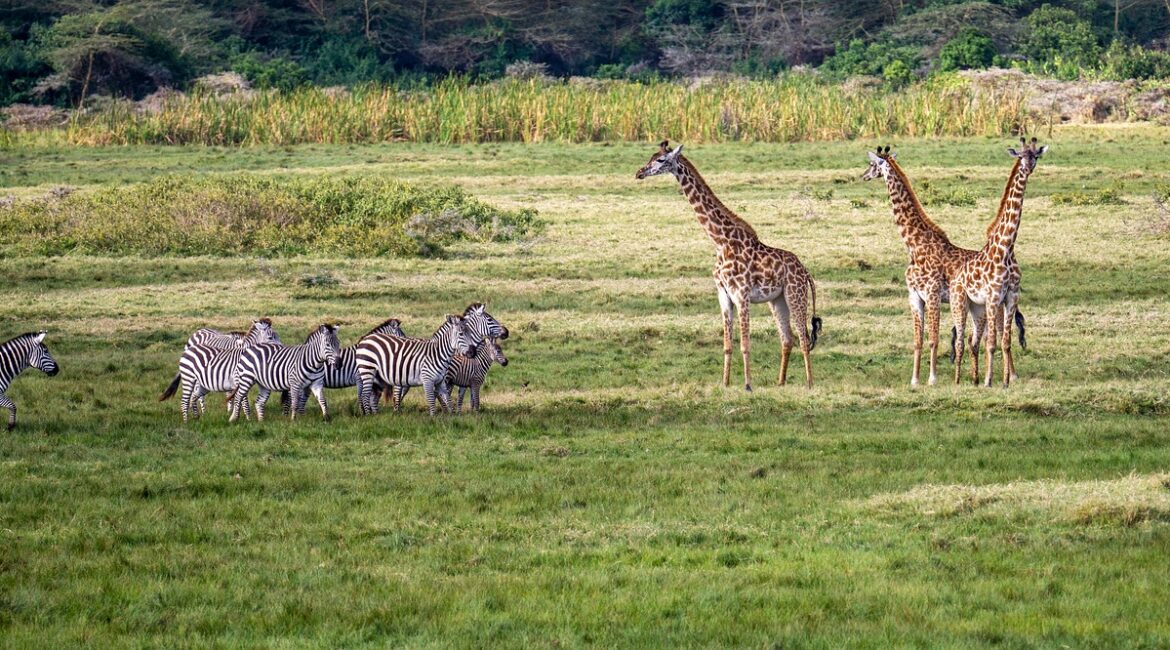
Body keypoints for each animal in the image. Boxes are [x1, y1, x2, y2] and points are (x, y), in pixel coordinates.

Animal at [635, 140, 822, 390]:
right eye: (650, 157)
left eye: (661, 160)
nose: (639, 173)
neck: (721, 241)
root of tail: (806, 272)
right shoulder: (723, 294)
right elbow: (727, 344)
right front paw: (725, 383)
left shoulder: (741, 293)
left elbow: (745, 344)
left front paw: (748, 385)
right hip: (777, 300)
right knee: (787, 338)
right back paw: (780, 383)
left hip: (795, 294)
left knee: (803, 337)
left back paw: (810, 384)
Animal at [862, 146, 1027, 386]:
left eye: (872, 164)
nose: (864, 175)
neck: (915, 246)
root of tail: (1011, 262)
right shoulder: (914, 295)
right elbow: (918, 340)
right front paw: (915, 380)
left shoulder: (932, 294)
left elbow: (932, 339)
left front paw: (932, 378)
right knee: (982, 336)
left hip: (997, 302)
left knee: (998, 334)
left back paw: (1011, 376)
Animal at [950, 137, 1046, 388]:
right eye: (1020, 155)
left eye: (1036, 155)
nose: (1028, 167)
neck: (1007, 248)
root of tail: (955, 276)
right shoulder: (994, 296)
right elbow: (991, 342)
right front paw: (989, 381)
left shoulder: (1011, 295)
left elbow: (1005, 341)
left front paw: (1005, 381)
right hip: (959, 302)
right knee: (961, 340)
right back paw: (958, 380)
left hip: (977, 308)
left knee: (973, 339)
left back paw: (973, 378)